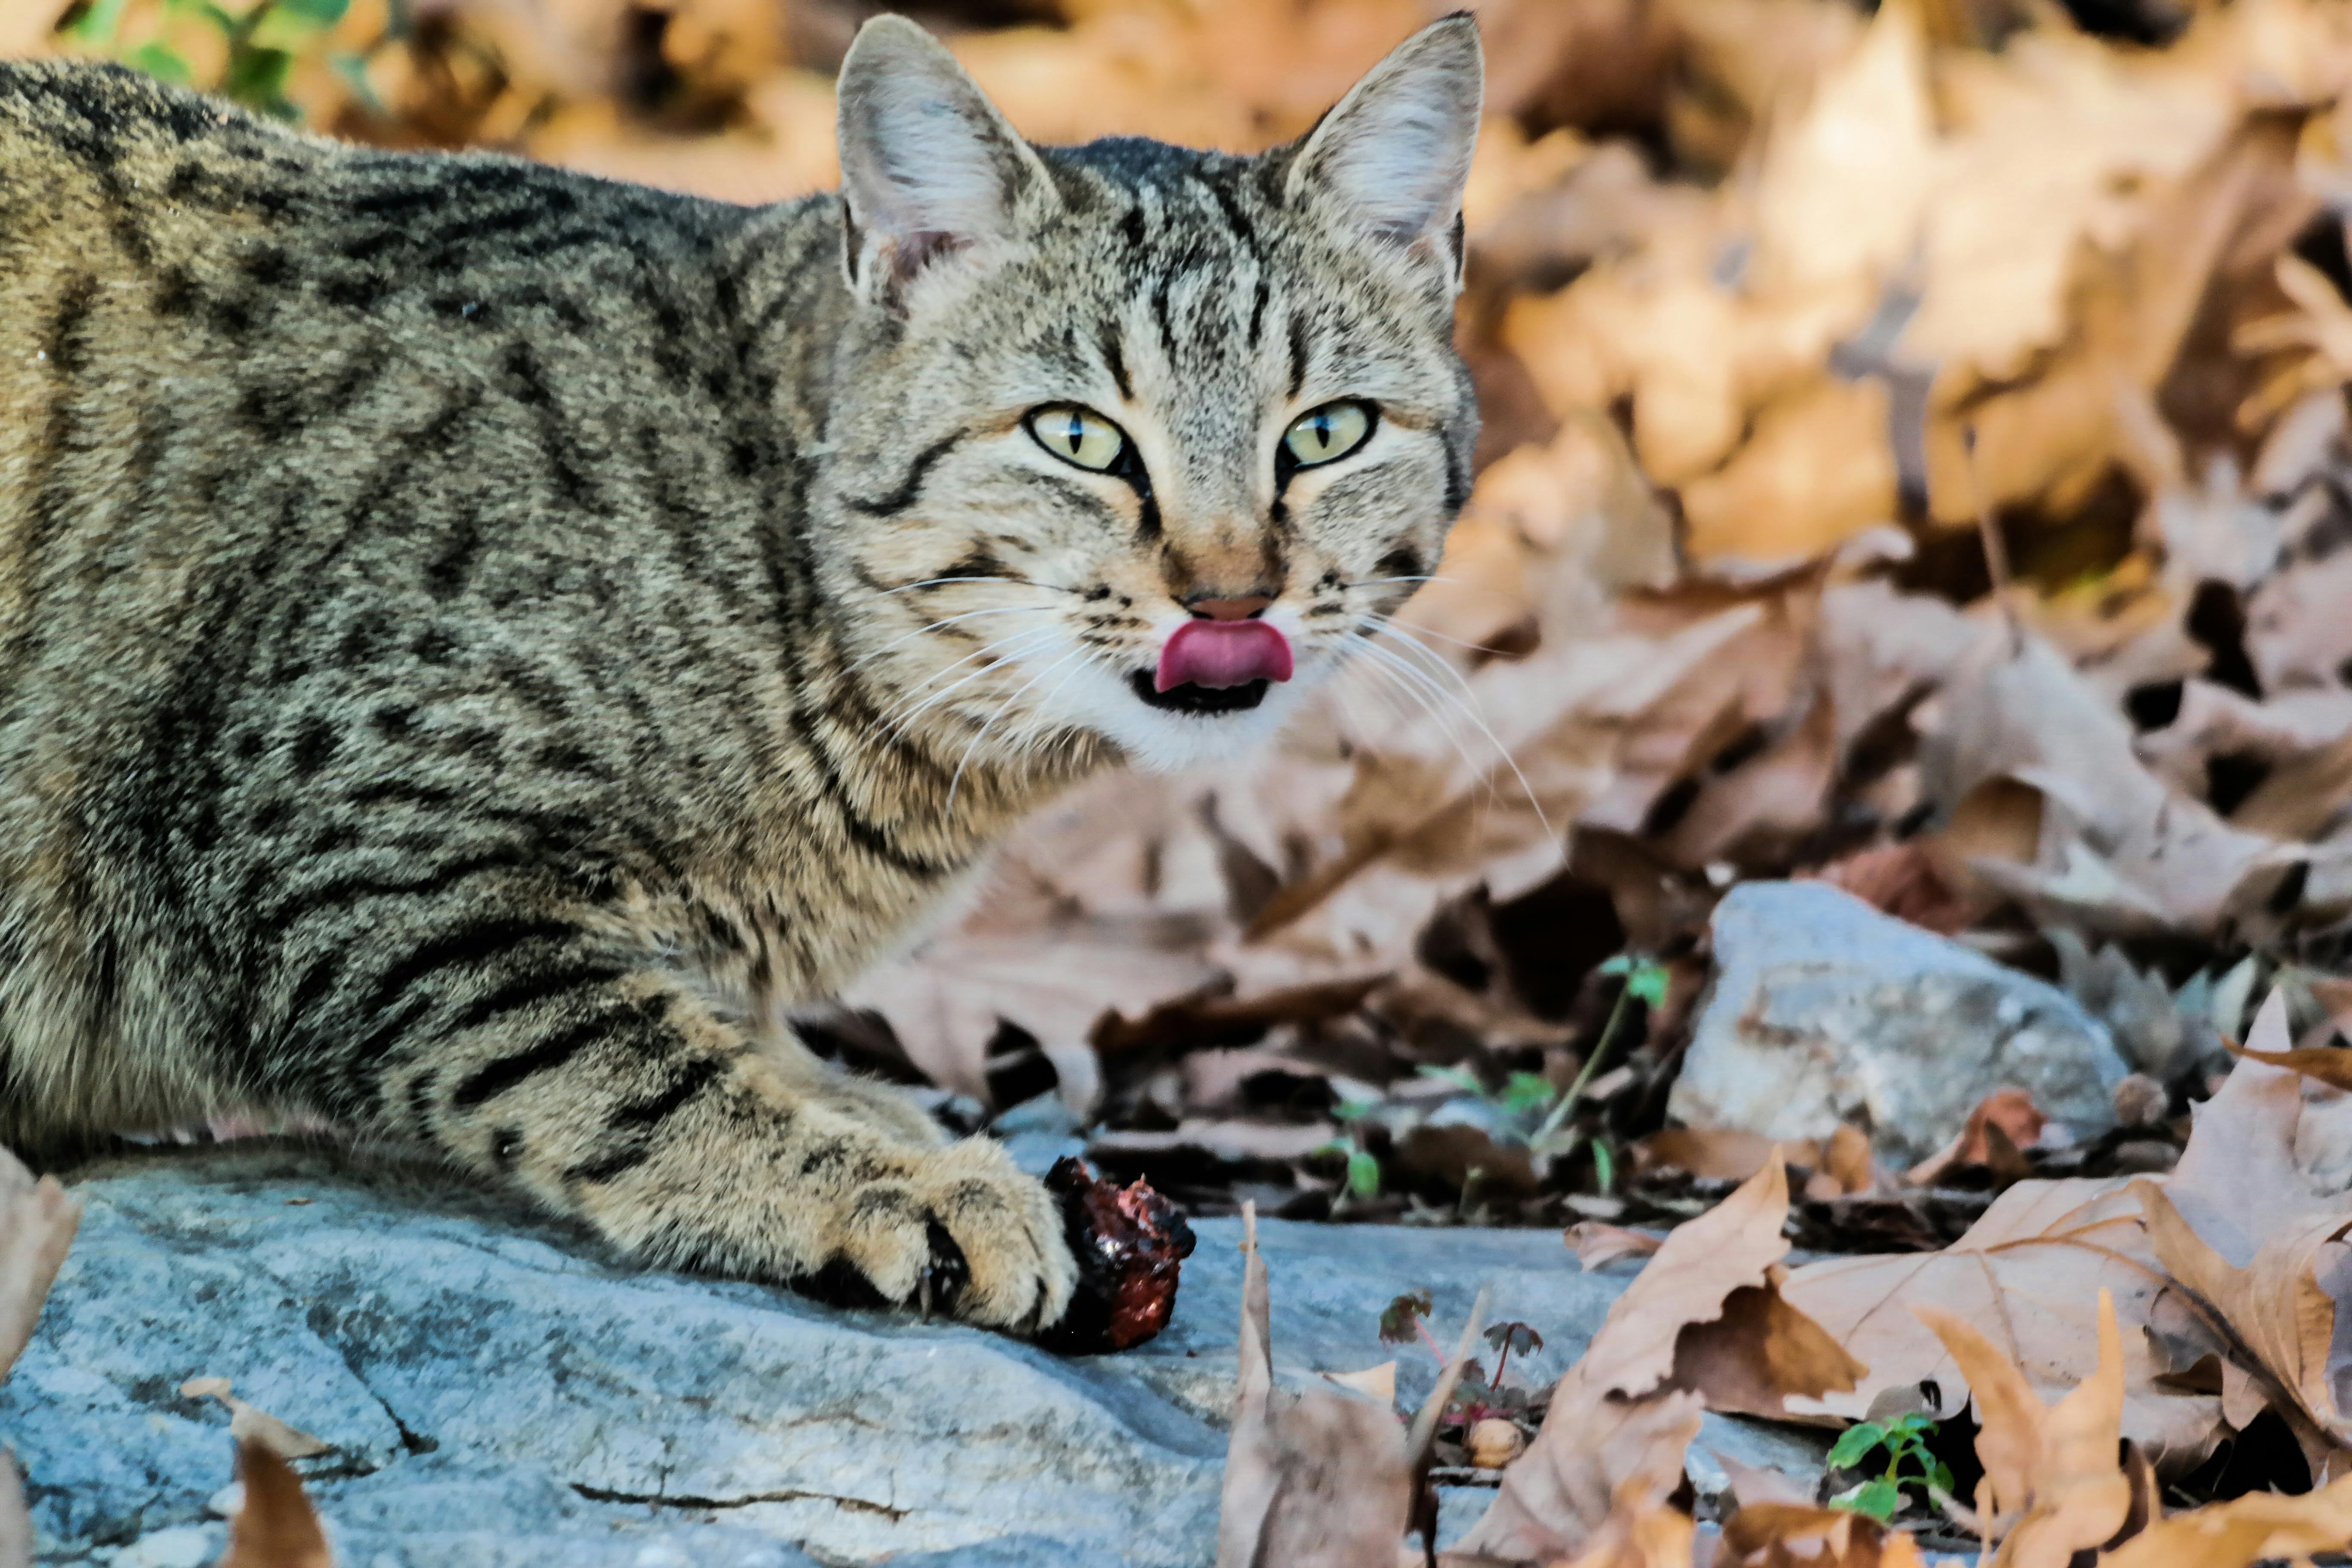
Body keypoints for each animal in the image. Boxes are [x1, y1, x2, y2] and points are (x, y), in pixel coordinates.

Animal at [0, 12, 1477, 1335]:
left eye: (1328, 433)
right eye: (1079, 438)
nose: (1231, 595)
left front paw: (892, 1119)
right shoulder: (338, 853)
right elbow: (623, 1061)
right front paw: (885, 1181)